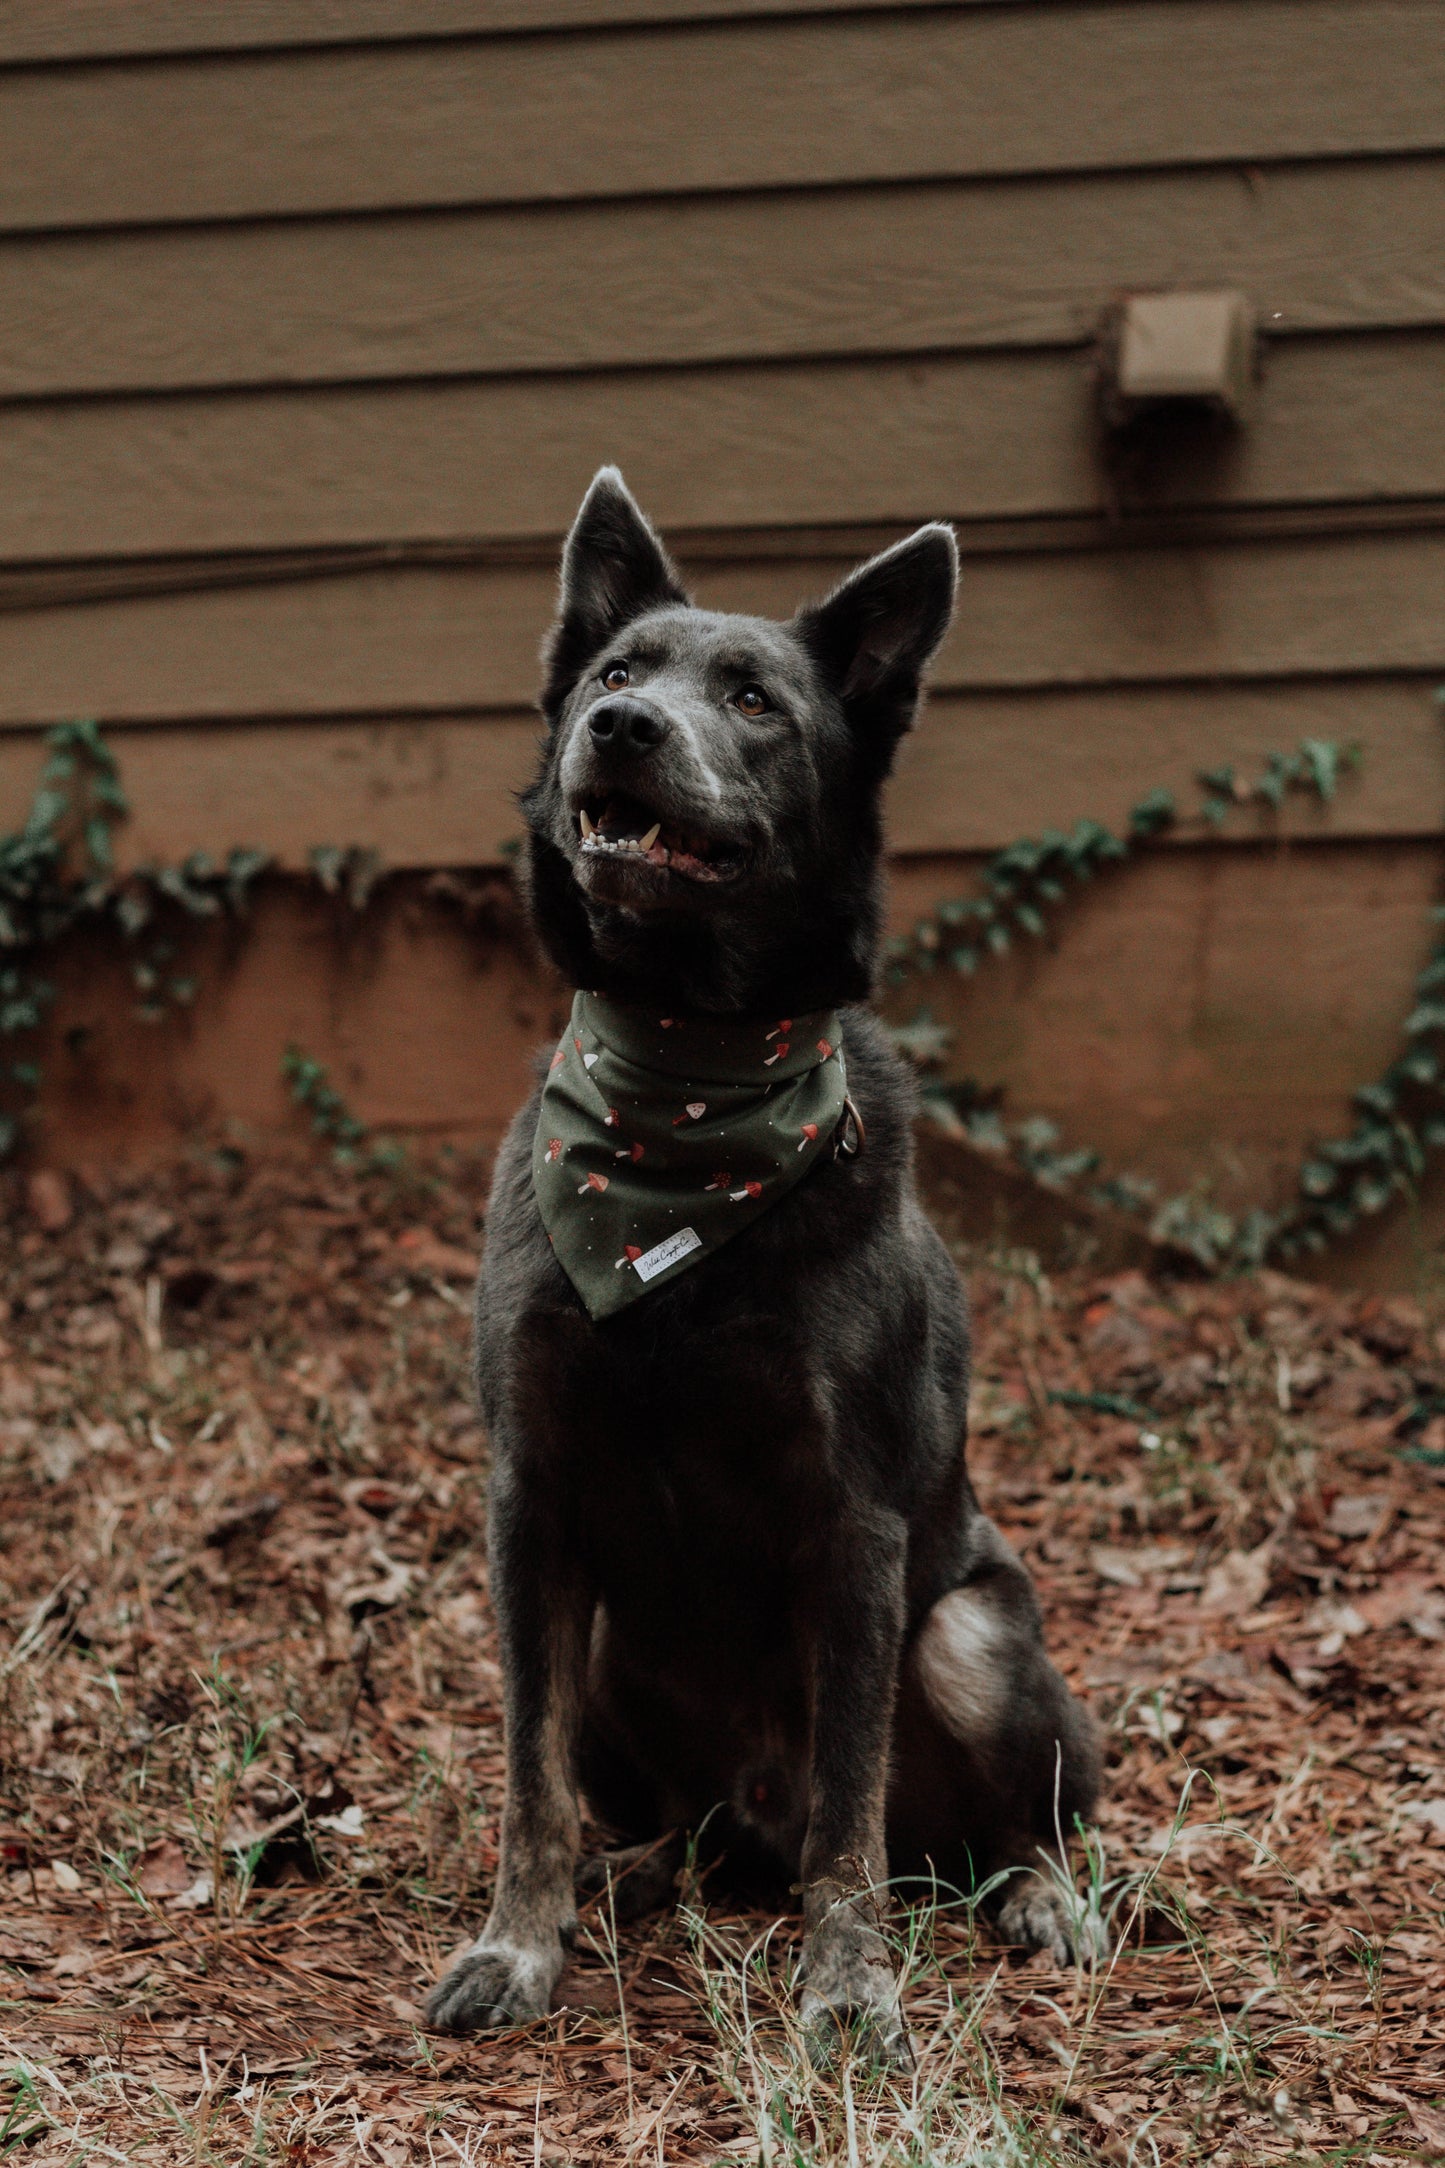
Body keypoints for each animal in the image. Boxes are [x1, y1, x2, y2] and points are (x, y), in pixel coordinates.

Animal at [424, 466, 1100, 2055]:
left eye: (753, 699)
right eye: (615, 675)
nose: (622, 729)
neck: (684, 1085)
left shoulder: (854, 1525)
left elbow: (850, 1805)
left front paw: (847, 1979)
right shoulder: (531, 1500)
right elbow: (528, 1775)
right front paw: (519, 1943)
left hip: (969, 1635)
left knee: (999, 1824)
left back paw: (1034, 1898)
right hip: (615, 1653)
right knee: (669, 1819)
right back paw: (632, 1877)